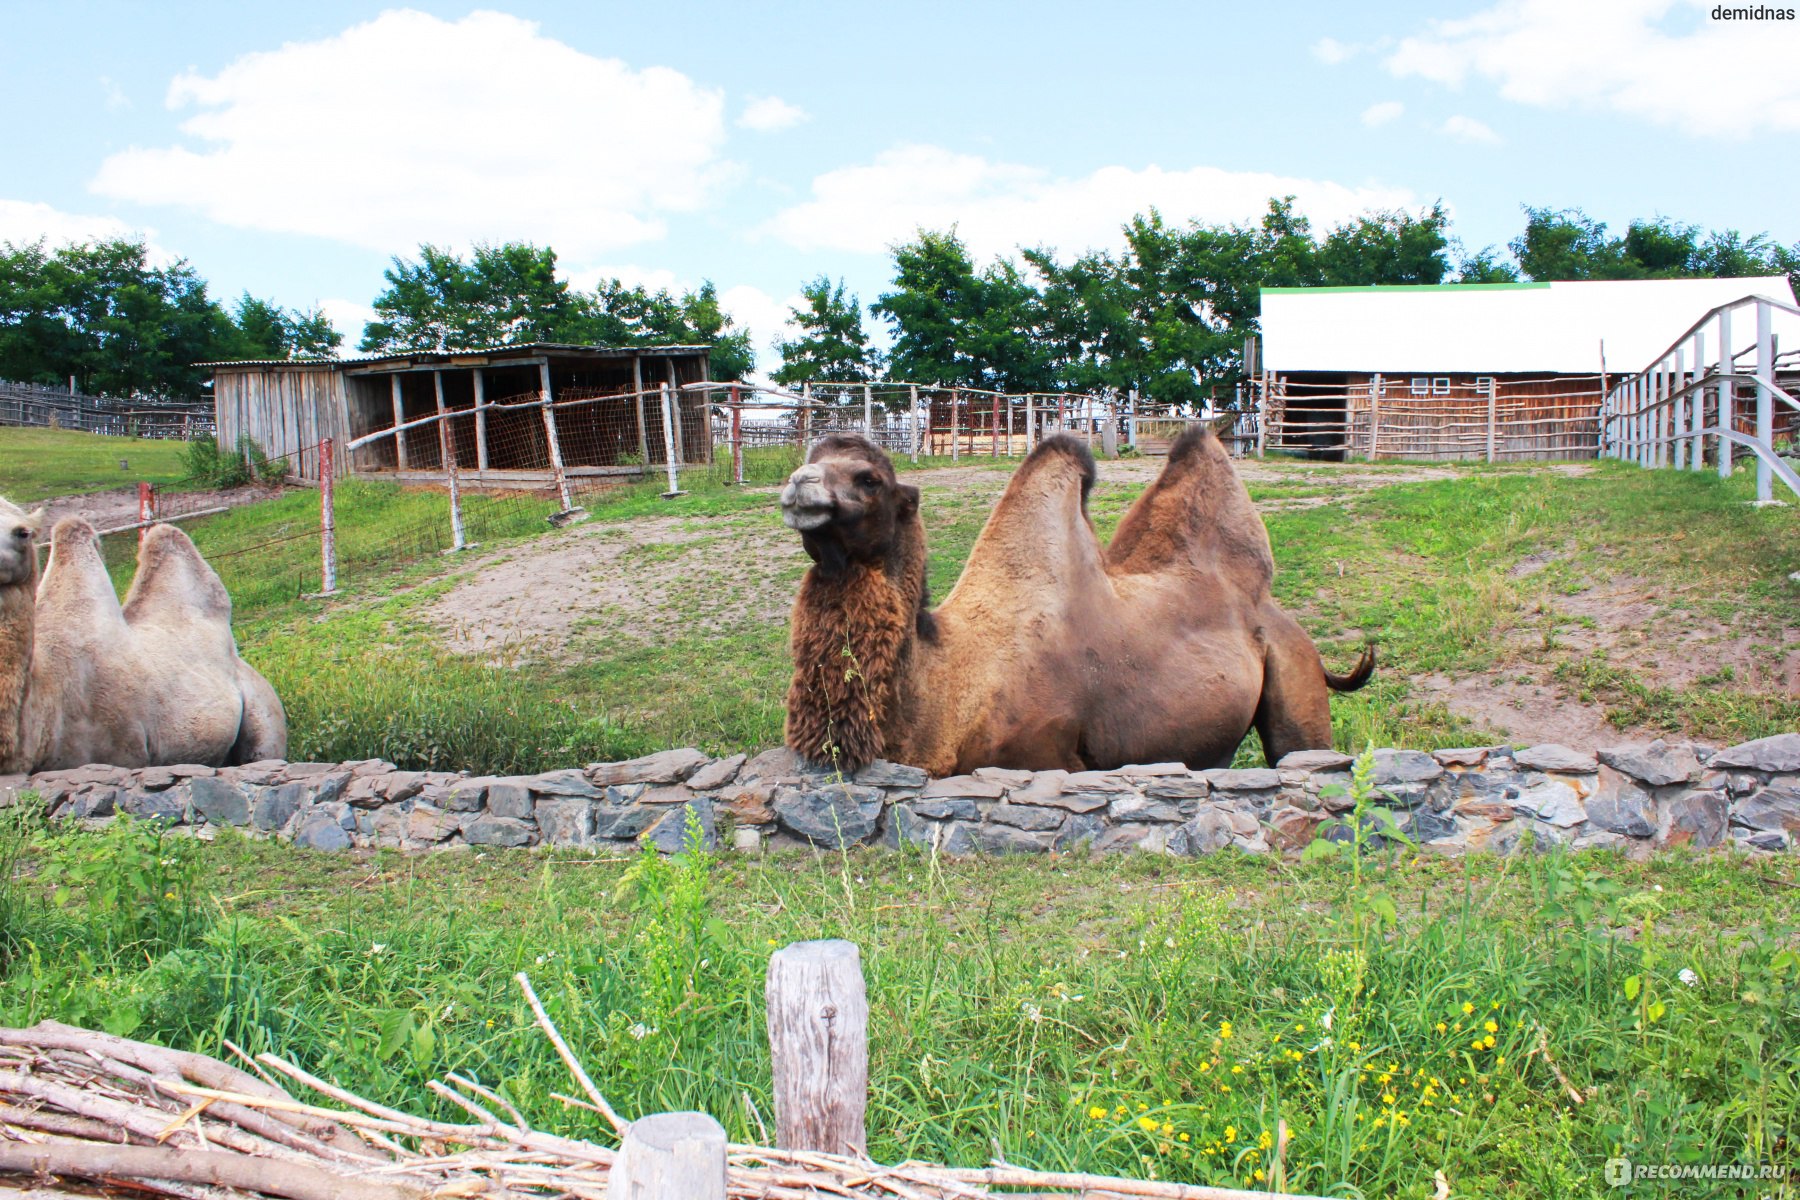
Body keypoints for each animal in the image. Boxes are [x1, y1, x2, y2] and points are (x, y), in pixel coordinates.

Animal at [777, 426, 1375, 773]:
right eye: (810, 457)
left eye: (869, 478)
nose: (799, 484)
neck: (947, 690)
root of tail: (1288, 623)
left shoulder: (1051, 757)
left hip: (1295, 685)